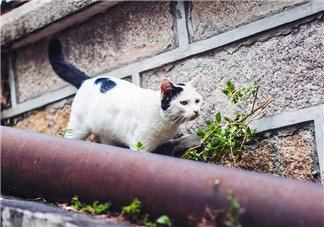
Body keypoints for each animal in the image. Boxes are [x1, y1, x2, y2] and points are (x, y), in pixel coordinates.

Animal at [48, 37, 201, 153]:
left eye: (197, 101)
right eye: (183, 102)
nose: (196, 111)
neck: (166, 122)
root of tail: (88, 80)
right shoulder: (140, 145)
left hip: (108, 135)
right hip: (78, 128)